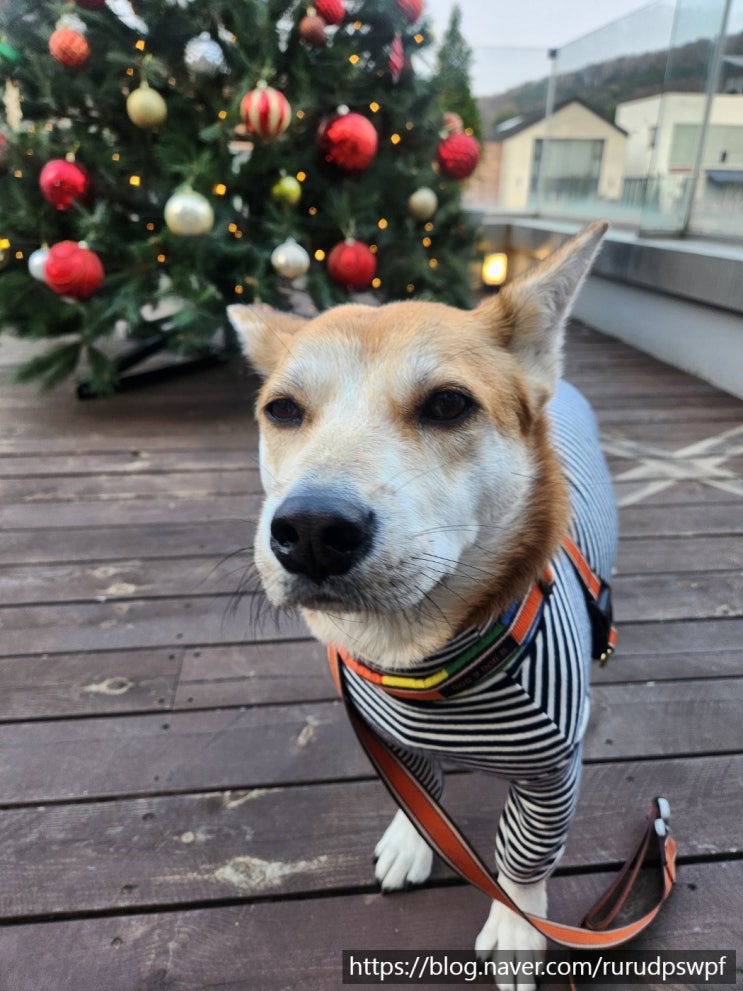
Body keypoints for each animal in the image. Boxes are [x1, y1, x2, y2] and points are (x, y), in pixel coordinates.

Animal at [228, 221, 617, 989]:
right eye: (282, 410)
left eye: (446, 404)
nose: (310, 531)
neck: (421, 663)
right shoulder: (392, 744)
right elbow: (420, 798)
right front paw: (414, 840)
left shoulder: (547, 779)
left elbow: (522, 861)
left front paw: (516, 926)